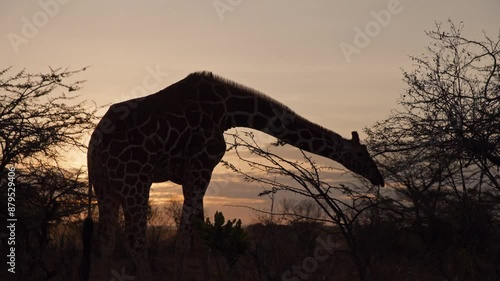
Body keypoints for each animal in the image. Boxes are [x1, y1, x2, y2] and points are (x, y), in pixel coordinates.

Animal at [81, 70, 382, 280]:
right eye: (363, 155)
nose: (379, 178)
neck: (228, 110)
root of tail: (93, 146)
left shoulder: (192, 175)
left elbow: (201, 237)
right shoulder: (200, 167)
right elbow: (183, 240)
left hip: (106, 187)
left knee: (106, 241)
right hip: (135, 181)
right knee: (135, 240)